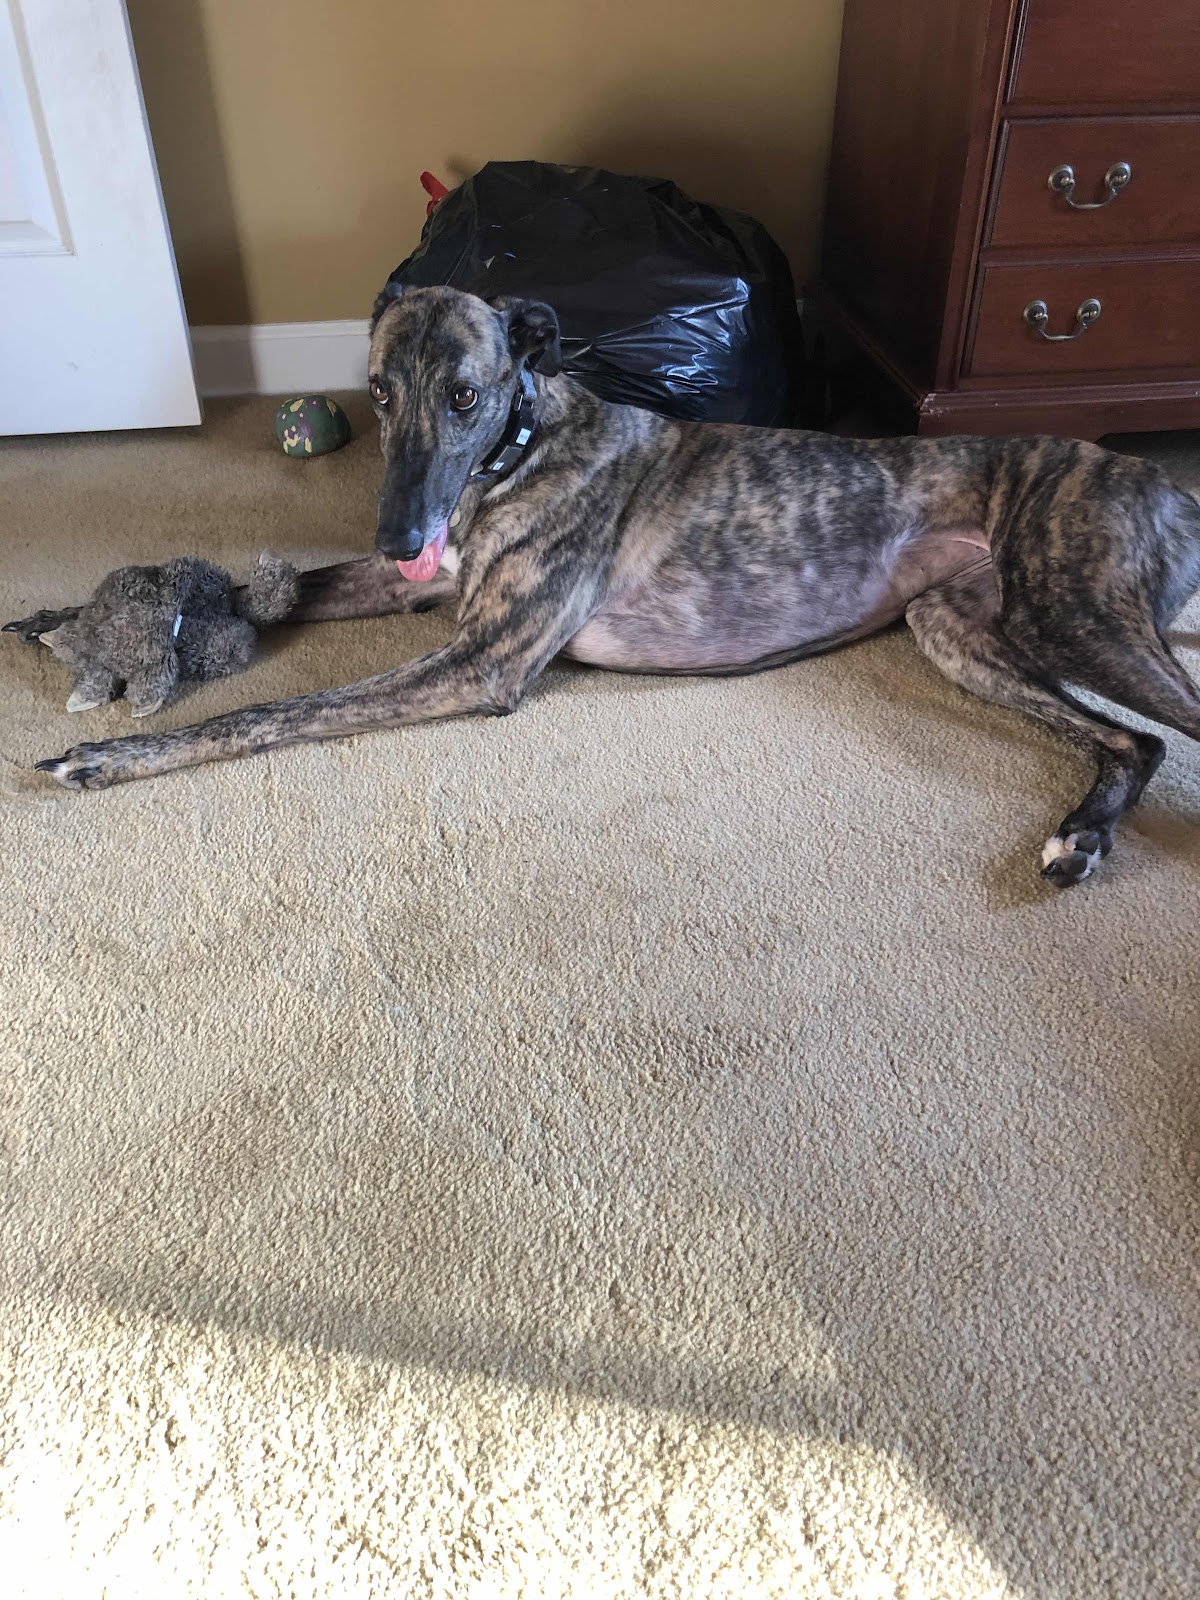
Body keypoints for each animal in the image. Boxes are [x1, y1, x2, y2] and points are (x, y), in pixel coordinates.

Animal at [12, 284, 1200, 886]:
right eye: (378, 392)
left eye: (465, 392)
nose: (400, 534)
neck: (520, 447)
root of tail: (1159, 479)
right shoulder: (423, 592)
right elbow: (274, 591)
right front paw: (84, 617)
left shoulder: (480, 658)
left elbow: (269, 710)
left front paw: (111, 754)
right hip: (958, 632)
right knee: (1133, 742)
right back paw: (1082, 835)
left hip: (1078, 612)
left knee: (1165, 723)